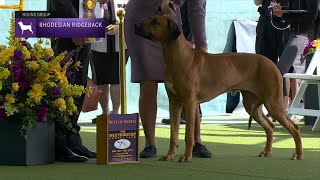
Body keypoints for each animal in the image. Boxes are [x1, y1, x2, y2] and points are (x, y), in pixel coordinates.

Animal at [134, 15, 304, 162]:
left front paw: (186, 156)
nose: (135, 25)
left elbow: (188, 134)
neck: (177, 57)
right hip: (251, 104)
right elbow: (173, 134)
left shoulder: (189, 102)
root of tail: (272, 63)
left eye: (155, 22)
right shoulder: (174, 103)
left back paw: (298, 154)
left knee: (294, 127)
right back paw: (267, 151)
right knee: (270, 127)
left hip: (273, 102)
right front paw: (169, 155)